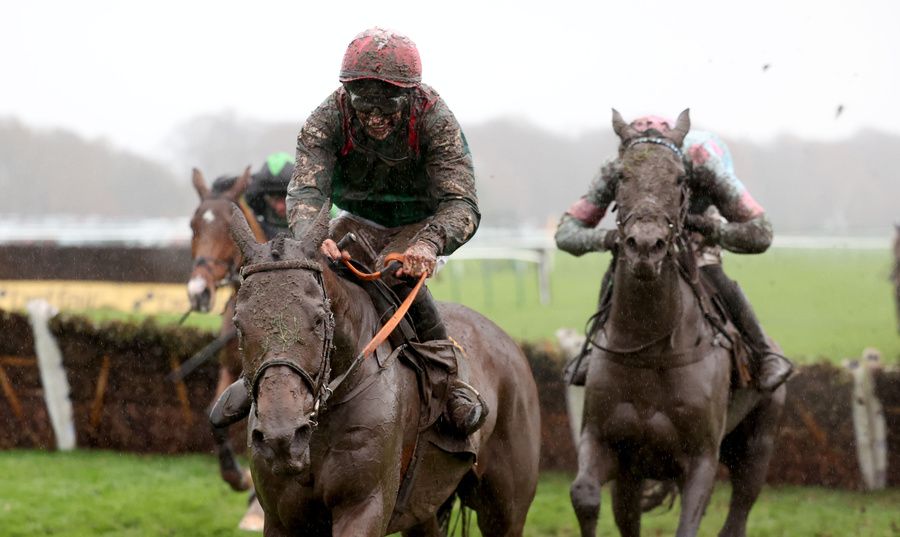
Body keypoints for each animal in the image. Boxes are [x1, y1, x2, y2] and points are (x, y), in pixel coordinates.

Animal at [230, 204, 540, 536]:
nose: (282, 437)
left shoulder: (365, 505)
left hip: (505, 507)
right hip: (425, 508)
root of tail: (509, 343)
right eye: (239, 323)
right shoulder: (281, 518)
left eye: (318, 318)